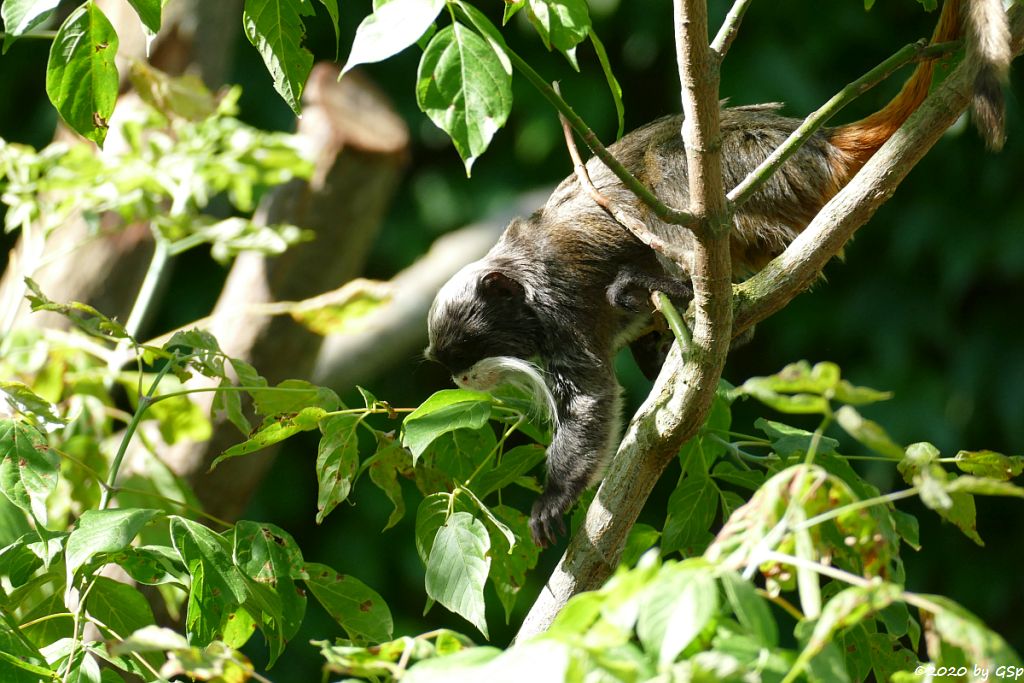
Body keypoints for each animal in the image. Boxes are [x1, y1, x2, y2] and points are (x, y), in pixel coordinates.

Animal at [421, 0, 1007, 544]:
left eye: (467, 351)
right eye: (451, 365)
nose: (462, 379)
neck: (520, 277)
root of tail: (815, 144)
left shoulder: (558, 299)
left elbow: (591, 398)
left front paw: (555, 496)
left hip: (753, 166)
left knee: (669, 163)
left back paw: (674, 283)